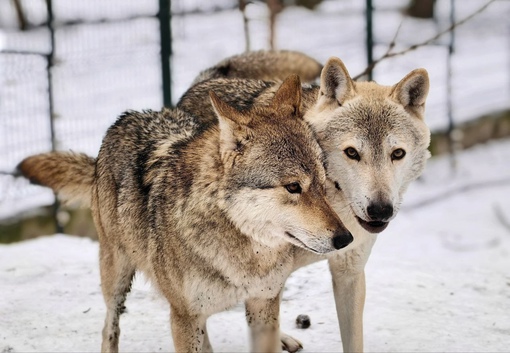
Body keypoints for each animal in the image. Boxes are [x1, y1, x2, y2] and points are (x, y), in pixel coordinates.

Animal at [20, 75, 354, 352]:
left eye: (323, 181)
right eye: (293, 187)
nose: (345, 239)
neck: (242, 251)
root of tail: (127, 117)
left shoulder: (263, 301)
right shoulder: (184, 316)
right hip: (117, 275)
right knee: (109, 328)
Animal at [177, 52, 432, 352]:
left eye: (398, 153)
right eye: (352, 152)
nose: (380, 210)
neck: (335, 207)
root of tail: (204, 80)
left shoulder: (349, 273)